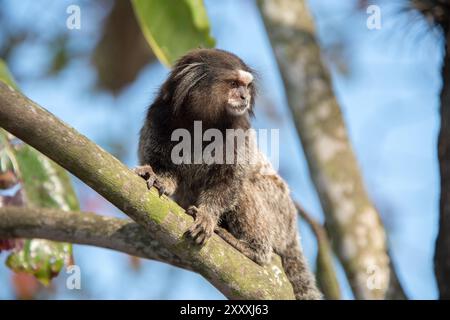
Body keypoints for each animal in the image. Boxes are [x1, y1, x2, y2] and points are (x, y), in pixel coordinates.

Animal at [135, 48, 322, 300]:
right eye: (234, 84)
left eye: (246, 86)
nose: (244, 97)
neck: (200, 122)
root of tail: (293, 231)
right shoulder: (157, 117)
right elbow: (167, 172)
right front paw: (158, 178)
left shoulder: (239, 130)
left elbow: (229, 181)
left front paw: (207, 216)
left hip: (279, 210)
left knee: (246, 187)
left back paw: (253, 249)